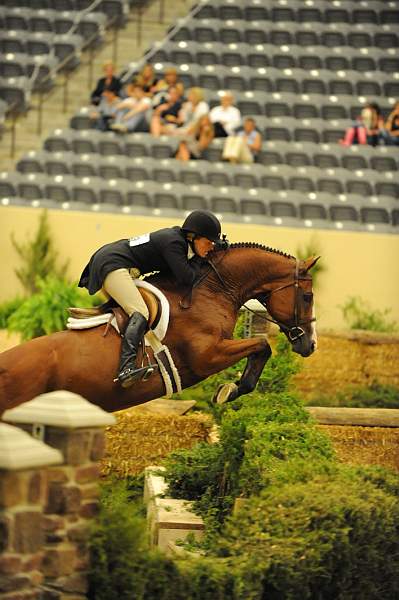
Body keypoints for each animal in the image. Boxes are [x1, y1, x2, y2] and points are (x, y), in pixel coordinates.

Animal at [0, 244, 318, 418]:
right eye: (307, 297)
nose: (311, 345)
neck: (214, 290)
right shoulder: (207, 356)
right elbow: (262, 346)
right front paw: (229, 391)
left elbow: (260, 348)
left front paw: (232, 389)